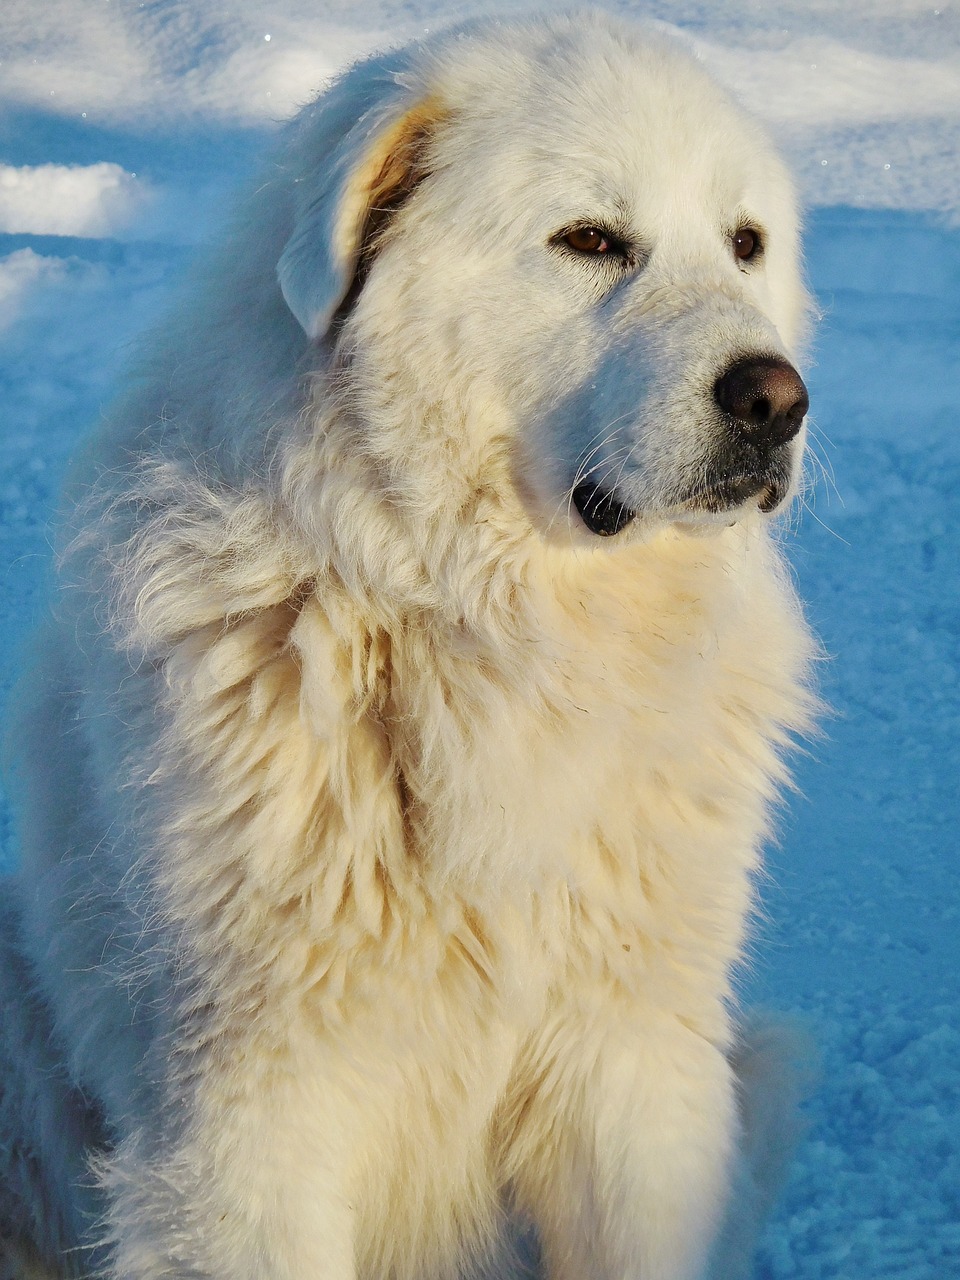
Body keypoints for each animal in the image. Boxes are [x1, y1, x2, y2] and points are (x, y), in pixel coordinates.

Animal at [0, 10, 819, 1280]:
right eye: (591, 240)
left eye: (745, 243)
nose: (776, 399)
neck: (501, 640)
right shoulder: (252, 1119)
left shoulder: (632, 1066)